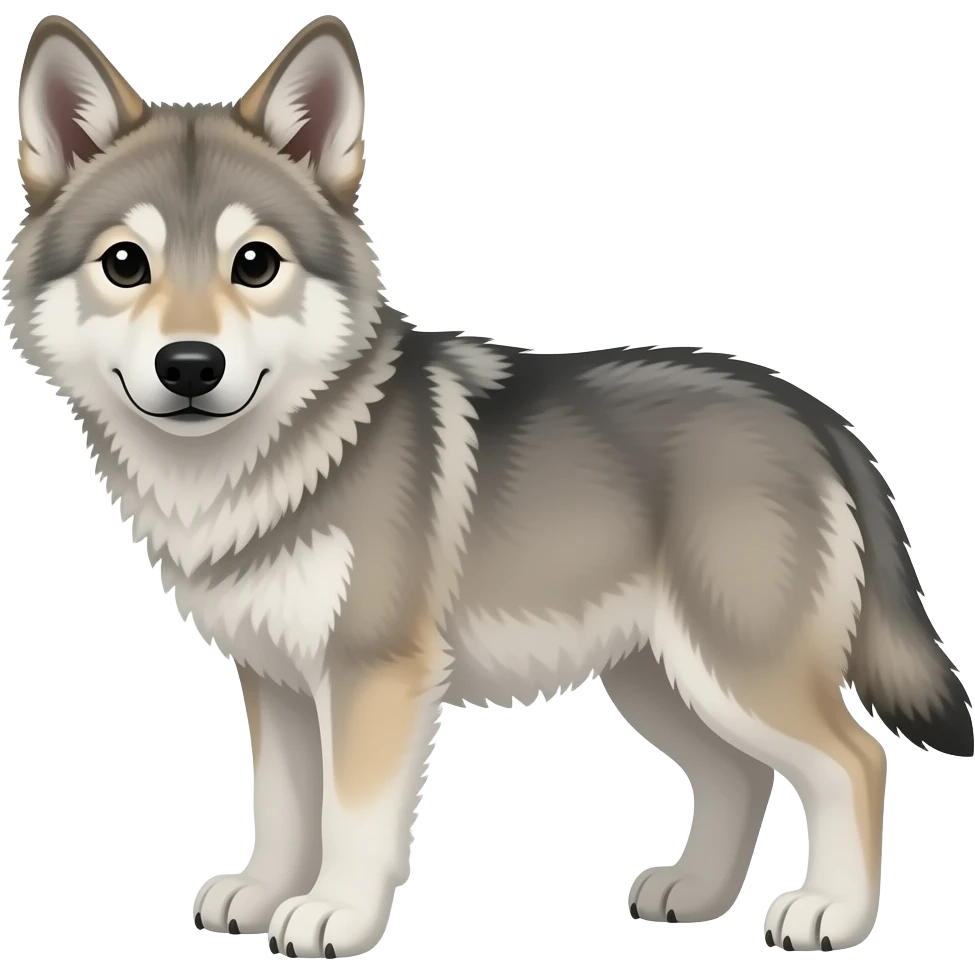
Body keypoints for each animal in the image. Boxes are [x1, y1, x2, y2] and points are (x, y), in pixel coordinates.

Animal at [5, 12, 972, 960]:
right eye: (125, 264)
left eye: (254, 263)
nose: (190, 366)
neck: (264, 464)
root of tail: (807, 409)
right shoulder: (274, 677)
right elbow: (280, 806)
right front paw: (261, 892)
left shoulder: (374, 675)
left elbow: (352, 818)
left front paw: (332, 916)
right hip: (657, 678)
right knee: (742, 771)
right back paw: (694, 893)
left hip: (734, 668)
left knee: (853, 758)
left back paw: (829, 913)